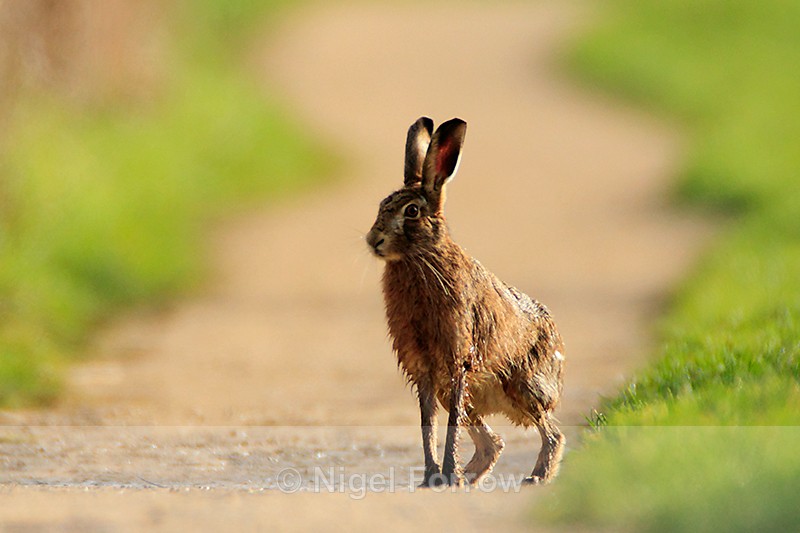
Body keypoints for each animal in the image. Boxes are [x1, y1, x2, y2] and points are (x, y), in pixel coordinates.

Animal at [366, 117, 566, 487]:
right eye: (381, 206)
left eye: (412, 211)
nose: (374, 240)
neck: (421, 257)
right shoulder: (424, 369)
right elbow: (428, 421)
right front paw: (432, 476)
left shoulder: (458, 359)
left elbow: (449, 424)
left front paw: (445, 473)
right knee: (494, 443)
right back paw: (466, 478)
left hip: (523, 386)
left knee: (552, 433)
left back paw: (533, 478)